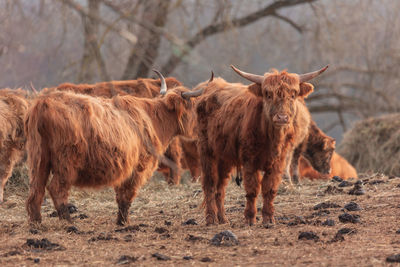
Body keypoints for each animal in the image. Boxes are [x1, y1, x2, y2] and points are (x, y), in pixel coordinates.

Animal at [24, 72, 203, 225]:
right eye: (193, 106)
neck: (153, 119)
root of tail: (44, 102)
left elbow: (121, 195)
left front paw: (120, 220)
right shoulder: (138, 167)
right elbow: (127, 194)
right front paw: (124, 222)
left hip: (38, 159)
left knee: (35, 191)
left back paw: (36, 222)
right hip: (66, 162)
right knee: (56, 188)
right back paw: (68, 221)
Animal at [197, 65, 328, 226]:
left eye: (293, 94)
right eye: (268, 94)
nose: (282, 117)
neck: (272, 139)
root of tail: (211, 87)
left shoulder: (278, 162)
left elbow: (269, 189)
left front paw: (268, 219)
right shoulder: (249, 160)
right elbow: (253, 189)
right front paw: (250, 218)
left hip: (224, 157)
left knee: (220, 187)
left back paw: (223, 219)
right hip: (206, 151)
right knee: (209, 184)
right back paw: (211, 219)